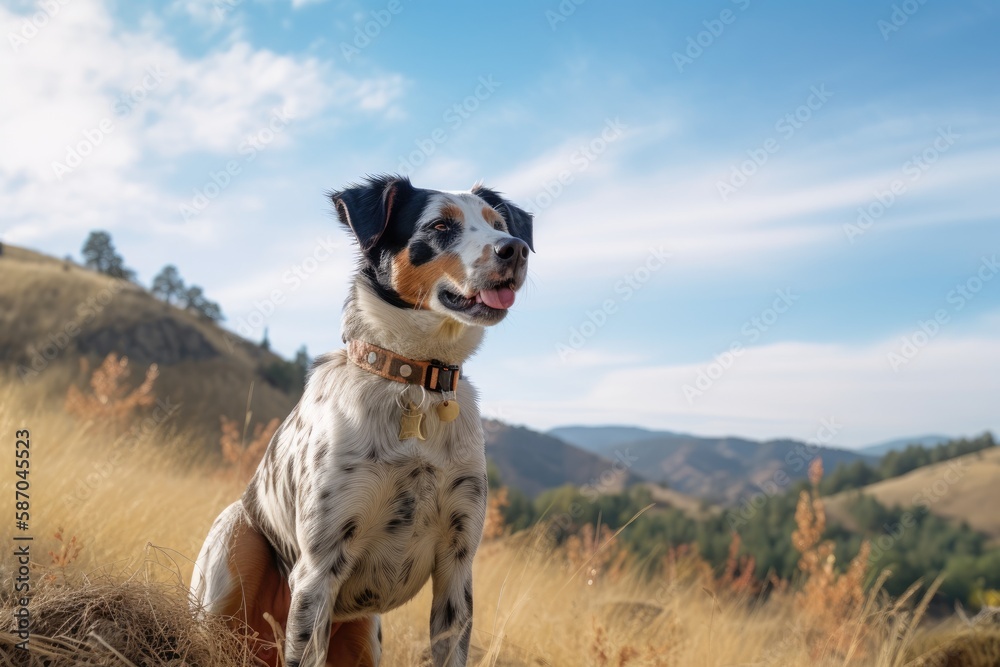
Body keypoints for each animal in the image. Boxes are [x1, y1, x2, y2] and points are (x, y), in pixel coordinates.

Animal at [188, 176, 532, 667]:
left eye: (498, 225)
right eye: (440, 225)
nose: (515, 249)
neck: (415, 382)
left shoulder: (458, 565)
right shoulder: (318, 570)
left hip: (366, 634)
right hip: (233, 538)